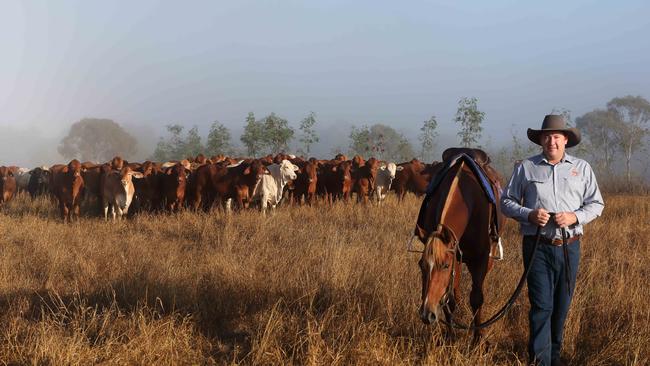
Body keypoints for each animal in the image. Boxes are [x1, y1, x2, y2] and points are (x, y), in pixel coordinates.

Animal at [412, 149, 504, 344]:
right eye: (421, 265)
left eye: (445, 265)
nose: (426, 314)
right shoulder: (455, 255)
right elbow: (449, 300)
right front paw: (450, 336)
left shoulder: (479, 259)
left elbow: (477, 298)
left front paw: (478, 339)